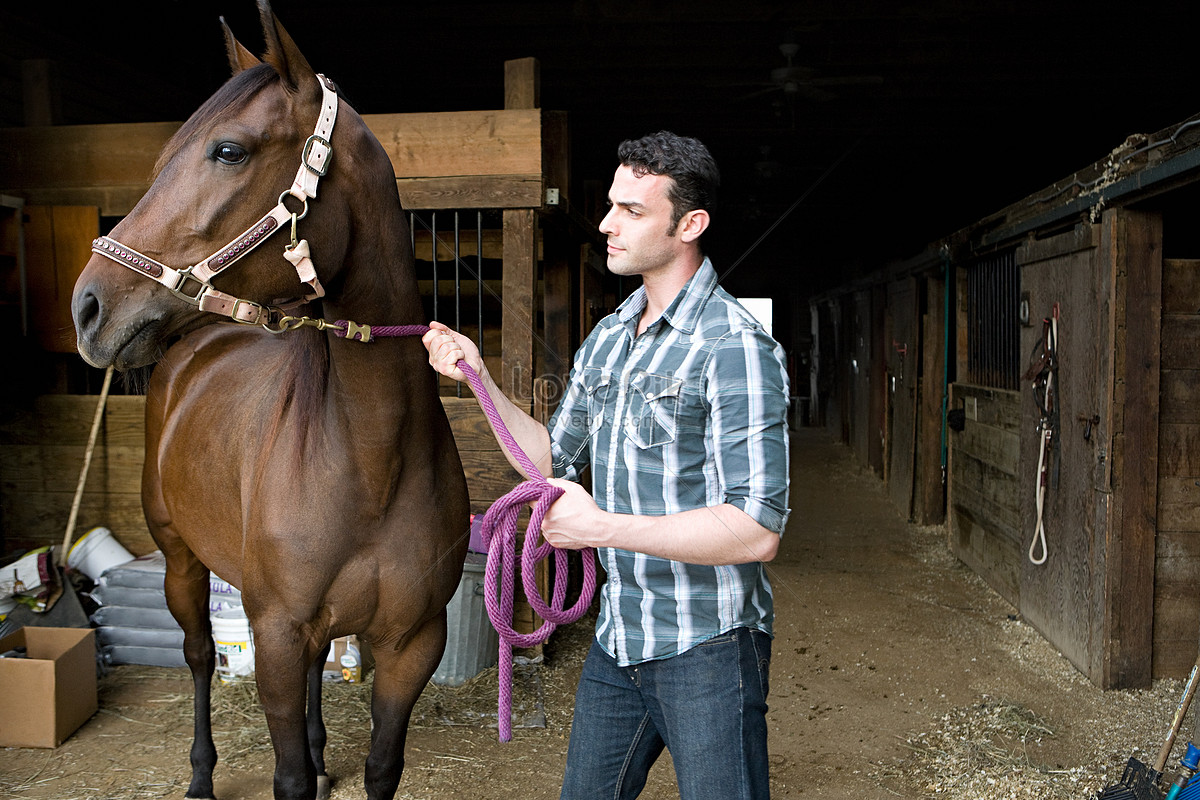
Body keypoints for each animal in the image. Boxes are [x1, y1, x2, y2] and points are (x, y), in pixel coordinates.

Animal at [68, 3, 465, 796]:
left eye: (228, 150)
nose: (88, 306)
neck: (372, 458)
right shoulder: (276, 634)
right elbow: (287, 778)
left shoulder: (411, 645)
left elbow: (381, 767)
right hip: (183, 563)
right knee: (196, 658)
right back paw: (200, 775)